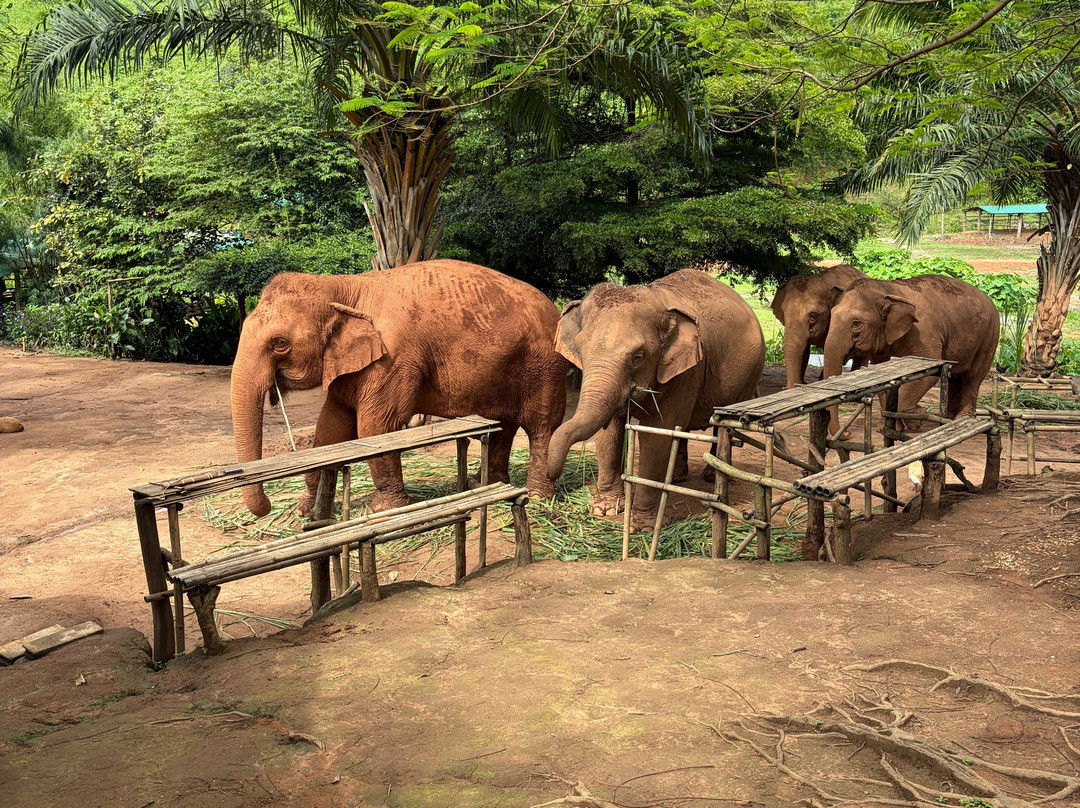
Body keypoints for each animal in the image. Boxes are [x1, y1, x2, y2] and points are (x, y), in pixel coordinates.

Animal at [230, 260, 568, 517]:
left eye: (280, 343)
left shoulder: (393, 359)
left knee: (542, 427)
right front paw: (305, 512)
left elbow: (375, 427)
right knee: (503, 426)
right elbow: (329, 430)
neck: (344, 286)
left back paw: (537, 496)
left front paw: (382, 510)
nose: (267, 506)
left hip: (547, 367)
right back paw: (483, 485)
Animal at [547, 270, 766, 531]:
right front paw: (606, 509)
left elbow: (657, 434)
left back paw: (711, 476)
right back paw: (678, 477)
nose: (553, 475)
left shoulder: (689, 369)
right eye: (580, 350)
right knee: (682, 426)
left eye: (638, 356)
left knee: (723, 425)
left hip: (751, 374)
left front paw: (642, 527)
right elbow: (610, 431)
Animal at [821, 274, 999, 434]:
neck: (887, 289)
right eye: (831, 318)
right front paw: (887, 428)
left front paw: (918, 419)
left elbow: (928, 375)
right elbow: (884, 378)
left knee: (972, 377)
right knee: (956, 376)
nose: (847, 434)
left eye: (856, 323)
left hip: (989, 337)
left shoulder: (924, 334)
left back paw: (961, 419)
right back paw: (947, 420)